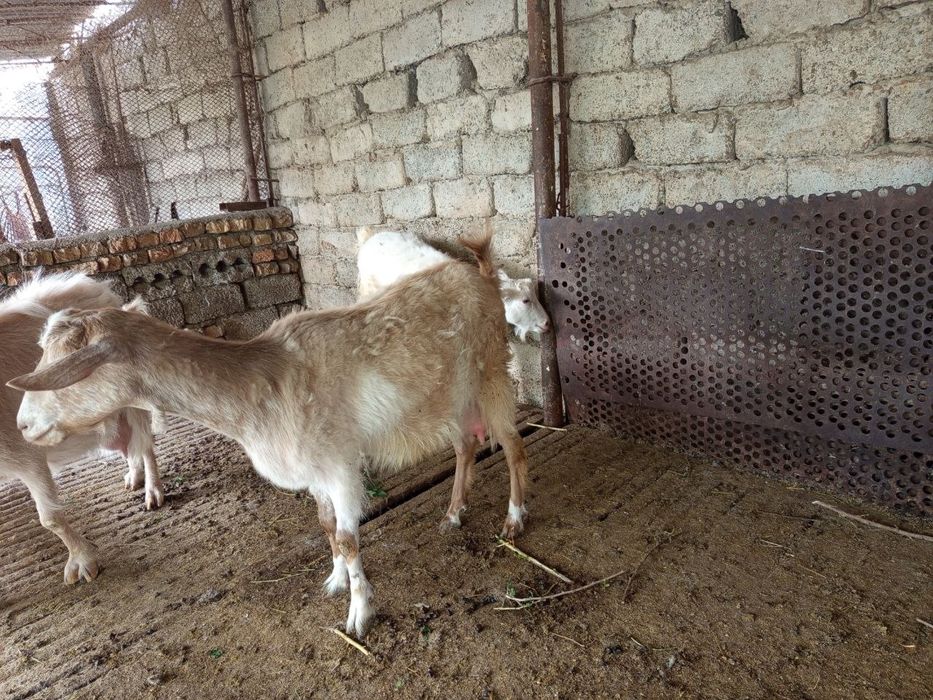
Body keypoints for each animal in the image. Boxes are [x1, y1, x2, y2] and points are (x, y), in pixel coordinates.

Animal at [0, 272, 163, 584]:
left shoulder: (24, 453)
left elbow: (50, 519)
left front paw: (83, 563)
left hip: (131, 399)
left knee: (145, 444)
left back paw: (153, 490)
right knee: (128, 445)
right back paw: (134, 476)